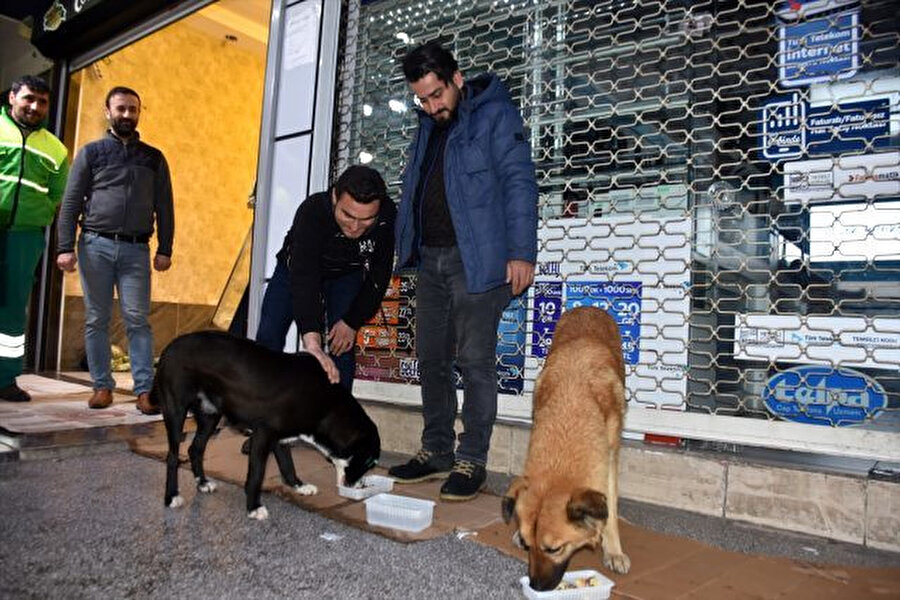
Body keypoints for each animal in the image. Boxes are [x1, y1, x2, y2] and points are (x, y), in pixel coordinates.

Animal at [153, 330, 378, 516]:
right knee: (172, 456)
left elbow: (287, 465)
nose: (361, 486)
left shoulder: (281, 437)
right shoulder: (263, 434)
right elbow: (256, 474)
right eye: (369, 462)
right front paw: (254, 507)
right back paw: (171, 496)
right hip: (176, 411)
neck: (327, 403)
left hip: (210, 415)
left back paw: (202, 483)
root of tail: (170, 346)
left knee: (196, 449)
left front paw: (298, 485)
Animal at [502, 308, 628, 588]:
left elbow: (611, 510)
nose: (535, 586)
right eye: (528, 544)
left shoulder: (609, 460)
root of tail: (588, 307)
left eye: (554, 549)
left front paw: (613, 550)